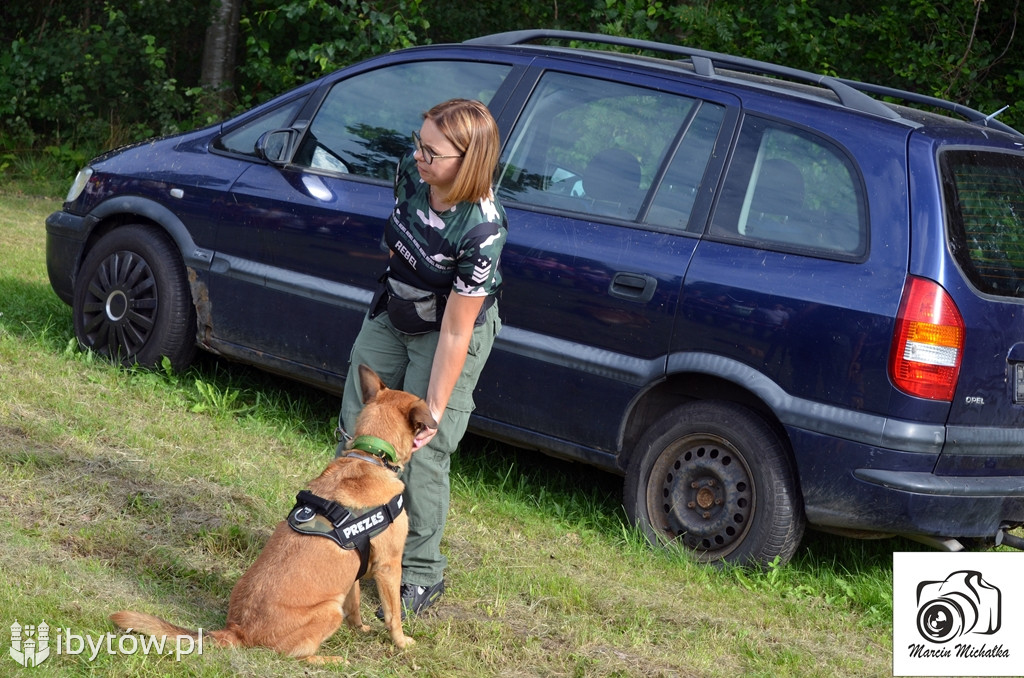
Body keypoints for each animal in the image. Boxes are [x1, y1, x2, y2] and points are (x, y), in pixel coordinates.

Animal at [109, 366, 436, 663]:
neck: (370, 456)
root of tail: (237, 630)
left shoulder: (354, 571)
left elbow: (355, 607)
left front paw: (361, 628)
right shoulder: (388, 566)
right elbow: (394, 615)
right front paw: (402, 643)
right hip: (328, 611)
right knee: (293, 655)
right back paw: (328, 659)